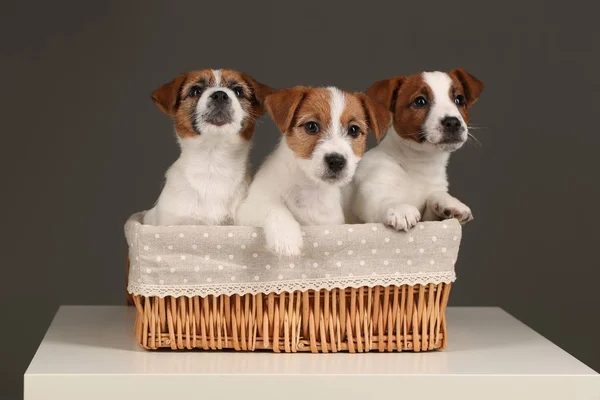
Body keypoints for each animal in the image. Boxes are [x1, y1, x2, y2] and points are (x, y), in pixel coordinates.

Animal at [237, 86, 392, 258]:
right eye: (311, 126)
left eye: (354, 130)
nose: (336, 161)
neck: (309, 187)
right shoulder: (249, 208)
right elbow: (275, 208)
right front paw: (286, 239)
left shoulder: (328, 222)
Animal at [352, 69, 482, 231]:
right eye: (420, 101)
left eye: (459, 99)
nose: (453, 122)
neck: (419, 162)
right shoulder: (370, 192)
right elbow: (383, 200)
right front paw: (400, 209)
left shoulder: (429, 218)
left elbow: (435, 196)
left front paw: (450, 202)